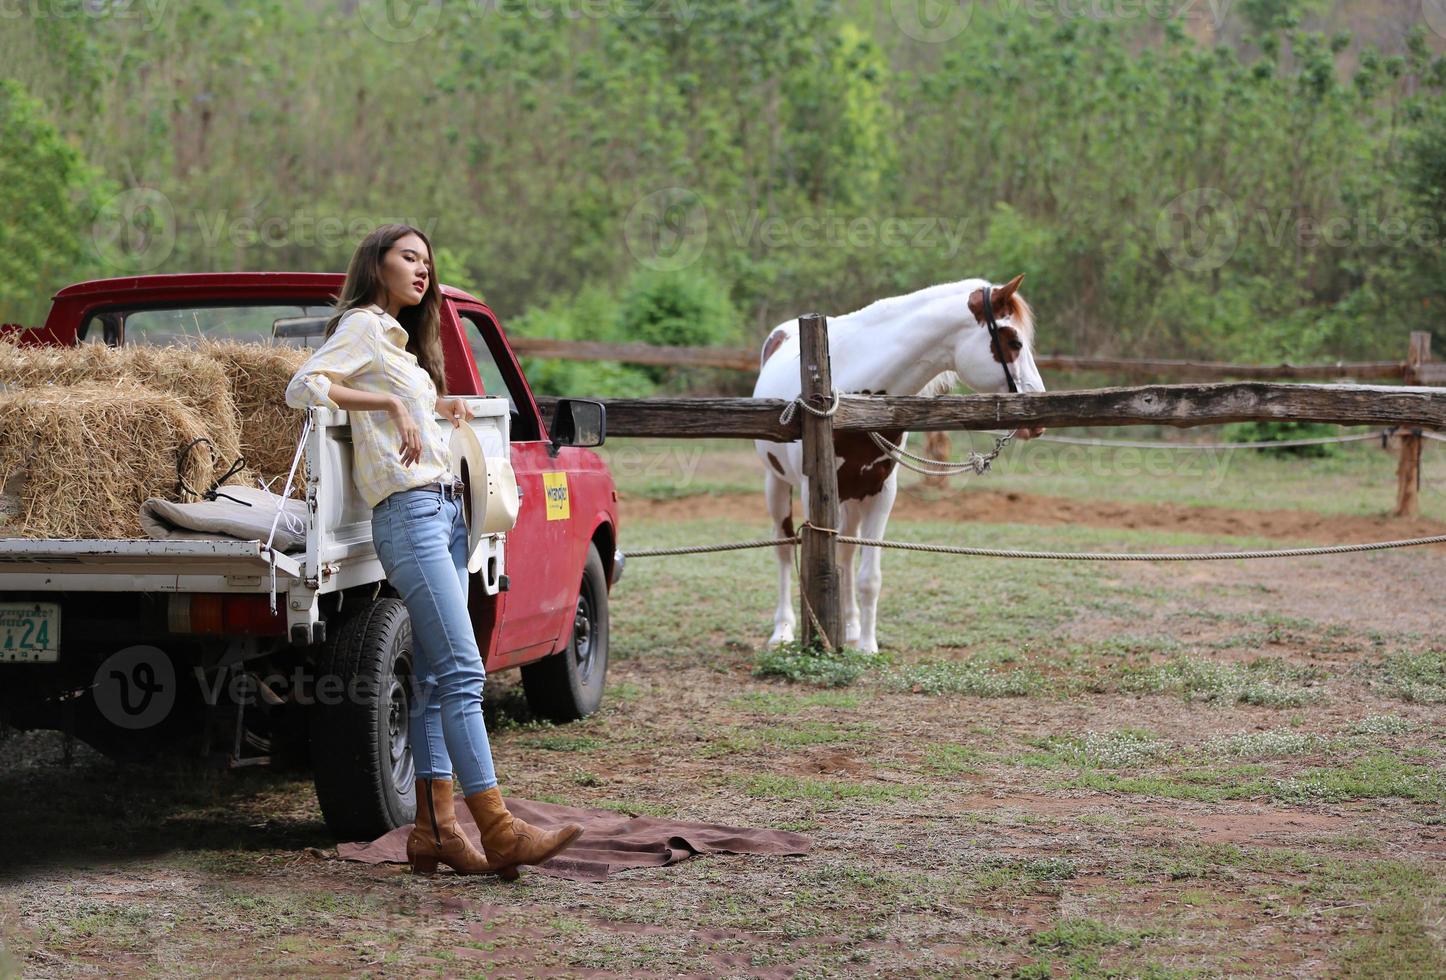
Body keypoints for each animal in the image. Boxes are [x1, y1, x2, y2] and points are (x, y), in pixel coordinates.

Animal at [751, 276, 1046, 653]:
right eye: (1014, 341)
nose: (1038, 421)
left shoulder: (881, 492)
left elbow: (869, 577)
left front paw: (866, 645)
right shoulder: (811, 492)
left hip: (852, 498)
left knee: (846, 553)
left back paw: (849, 627)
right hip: (776, 484)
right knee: (785, 548)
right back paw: (783, 630)